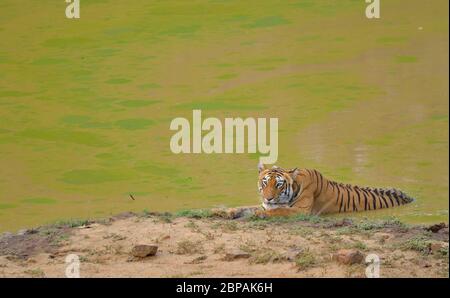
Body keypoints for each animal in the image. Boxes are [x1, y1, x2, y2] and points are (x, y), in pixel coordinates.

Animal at [255, 163, 414, 217]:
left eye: (279, 185)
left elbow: (278, 210)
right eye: (265, 182)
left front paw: (259, 213)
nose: (268, 198)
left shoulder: (302, 211)